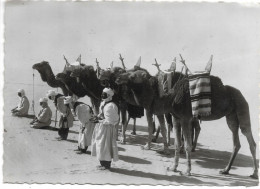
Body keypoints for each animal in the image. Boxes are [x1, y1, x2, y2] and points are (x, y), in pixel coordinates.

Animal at [116, 65, 258, 178]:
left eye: (133, 75)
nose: (118, 78)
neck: (171, 98)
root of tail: (241, 95)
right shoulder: (176, 118)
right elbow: (178, 143)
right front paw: (173, 167)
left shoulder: (185, 118)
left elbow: (187, 145)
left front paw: (188, 171)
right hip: (231, 116)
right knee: (236, 141)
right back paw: (225, 170)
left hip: (242, 107)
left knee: (250, 139)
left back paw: (254, 173)